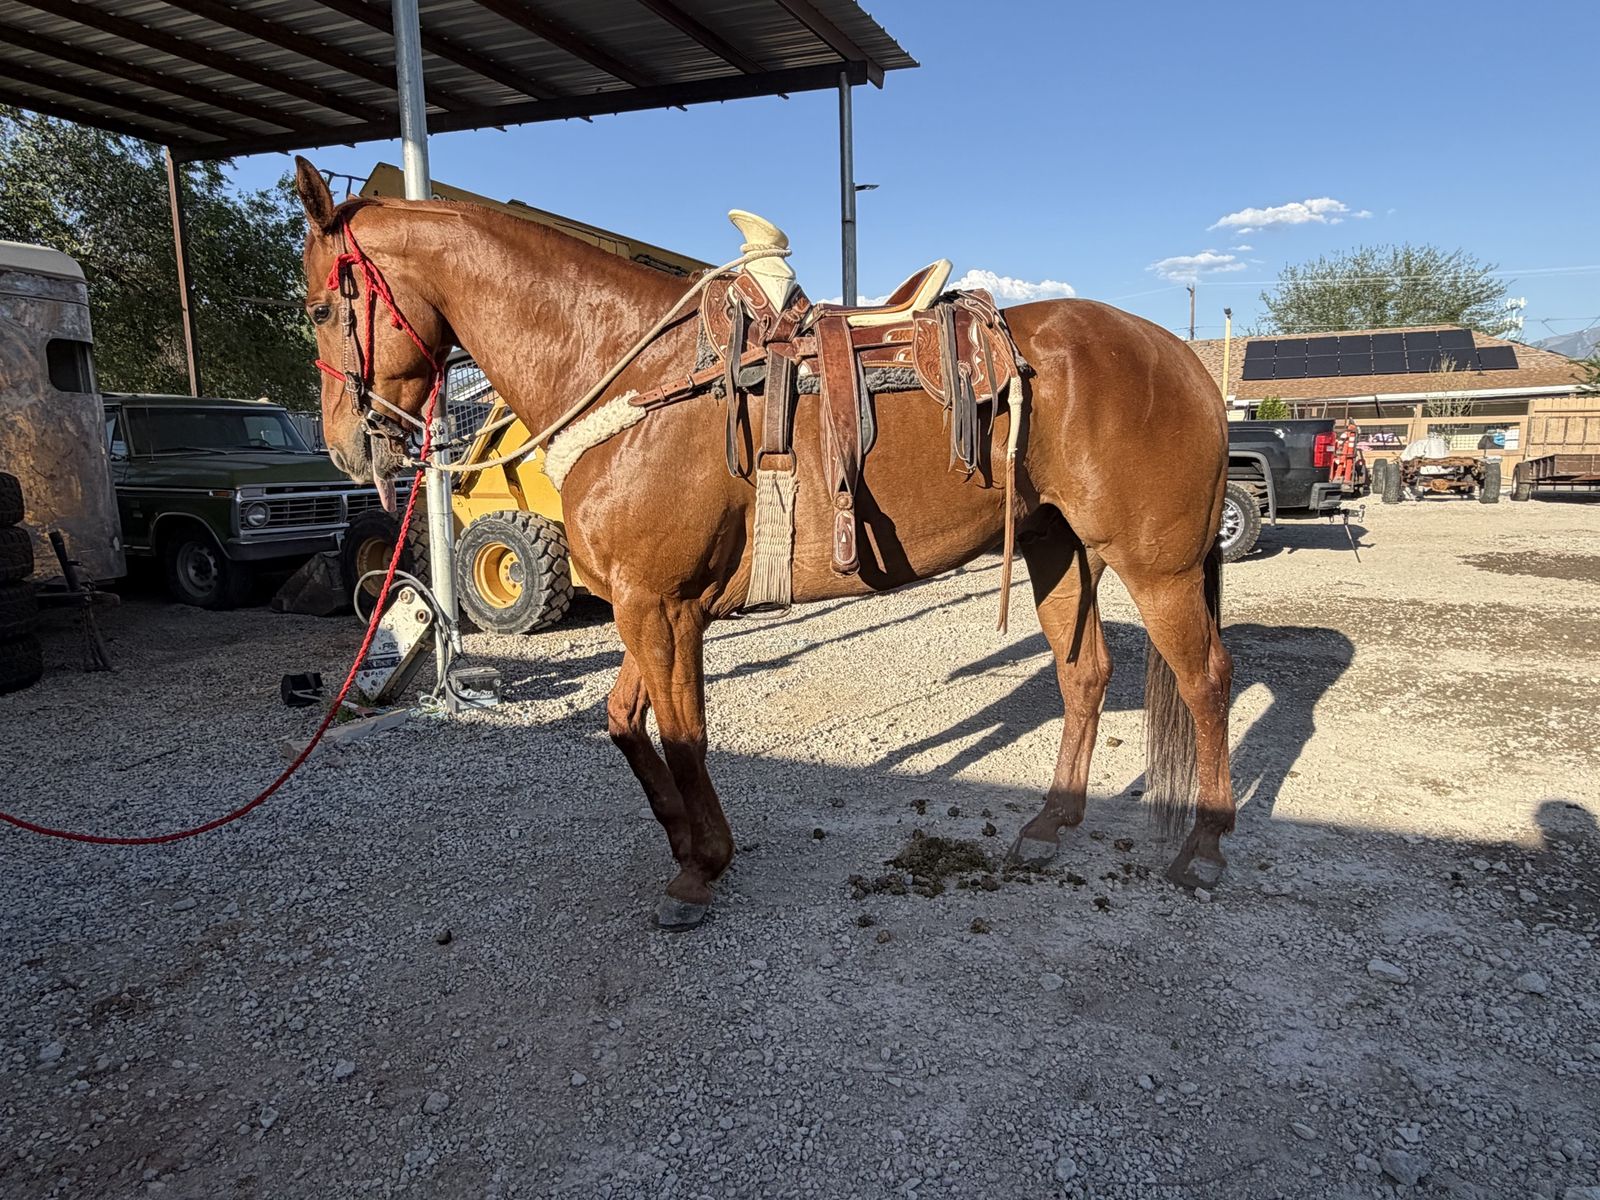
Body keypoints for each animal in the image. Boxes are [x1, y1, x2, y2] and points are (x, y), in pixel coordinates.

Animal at [292, 159, 1234, 930]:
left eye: (320, 307)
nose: (344, 448)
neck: (631, 376)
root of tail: (1181, 356)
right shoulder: (647, 604)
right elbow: (626, 722)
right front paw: (686, 848)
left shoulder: (661, 606)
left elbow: (684, 735)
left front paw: (703, 868)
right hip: (1057, 547)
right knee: (1086, 676)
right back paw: (1049, 825)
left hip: (1158, 566)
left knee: (1205, 681)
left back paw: (1205, 849)